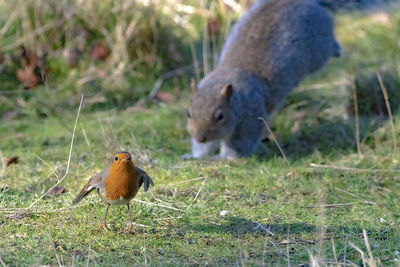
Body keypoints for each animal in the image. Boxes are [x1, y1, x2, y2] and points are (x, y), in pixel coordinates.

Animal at [185, 0, 378, 159]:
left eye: (220, 116)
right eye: (189, 113)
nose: (200, 137)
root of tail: (307, 2)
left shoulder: (250, 117)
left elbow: (240, 146)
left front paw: (222, 158)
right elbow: (205, 149)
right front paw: (194, 156)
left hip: (318, 51)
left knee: (329, 46)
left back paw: (337, 50)